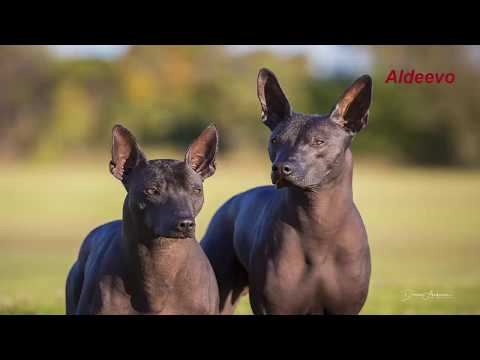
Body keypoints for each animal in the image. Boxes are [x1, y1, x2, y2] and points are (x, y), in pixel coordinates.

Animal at [201, 69, 374, 314]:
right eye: (275, 140)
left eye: (319, 141)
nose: (281, 168)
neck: (319, 223)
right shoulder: (274, 308)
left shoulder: (345, 309)